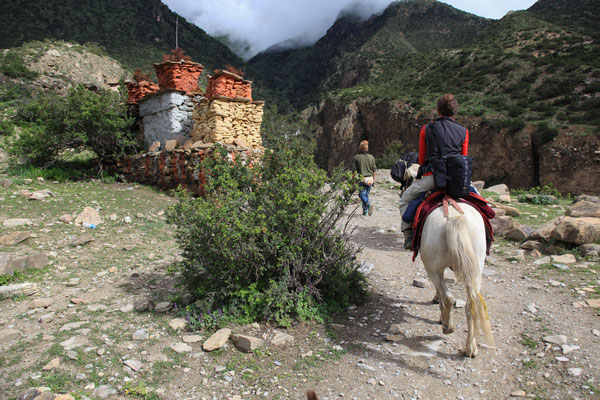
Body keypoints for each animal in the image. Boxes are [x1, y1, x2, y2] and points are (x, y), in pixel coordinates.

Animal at [420, 197, 494, 356]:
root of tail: (454, 218)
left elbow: (440, 292)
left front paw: (439, 310)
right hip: (477, 267)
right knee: (471, 303)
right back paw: (470, 348)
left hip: (432, 268)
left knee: (447, 296)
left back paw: (448, 326)